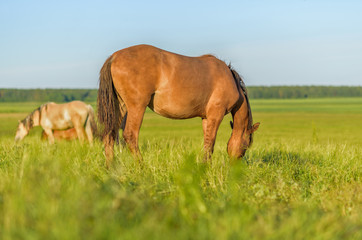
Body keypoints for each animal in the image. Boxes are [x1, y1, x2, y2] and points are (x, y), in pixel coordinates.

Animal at [97, 44, 258, 166]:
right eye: (245, 146)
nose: (235, 167)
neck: (229, 79)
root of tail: (114, 57)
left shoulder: (206, 118)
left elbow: (207, 143)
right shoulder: (215, 115)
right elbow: (210, 143)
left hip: (120, 107)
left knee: (110, 134)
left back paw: (110, 167)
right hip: (136, 108)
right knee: (130, 135)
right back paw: (141, 166)